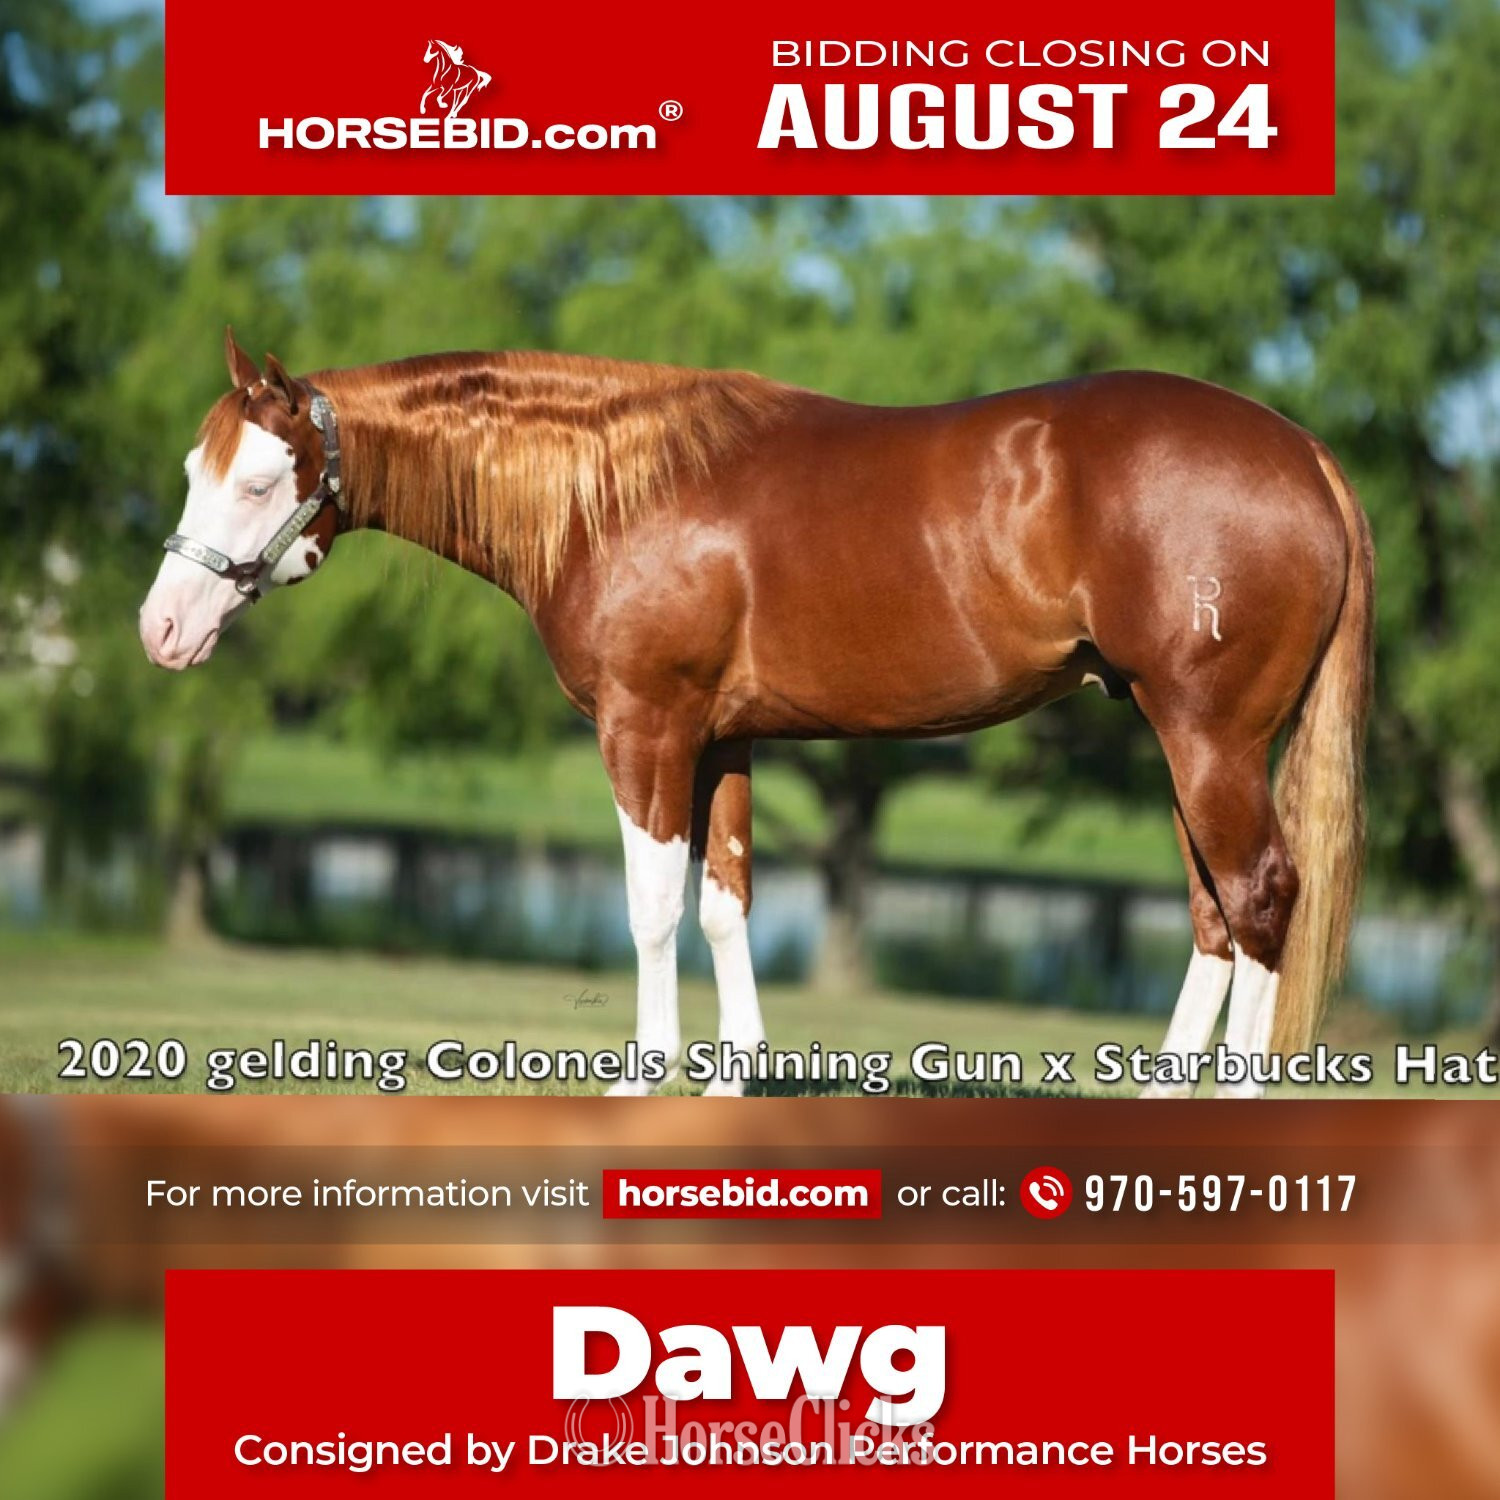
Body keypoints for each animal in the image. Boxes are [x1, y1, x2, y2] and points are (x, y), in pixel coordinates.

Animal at [139, 330, 1374, 1098]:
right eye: (197, 471)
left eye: (259, 482)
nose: (160, 628)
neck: (619, 491)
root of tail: (1304, 452)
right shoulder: (724, 737)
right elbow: (725, 904)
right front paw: (731, 1079)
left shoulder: (645, 728)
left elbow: (650, 910)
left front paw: (647, 1076)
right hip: (1182, 741)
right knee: (1215, 918)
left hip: (1210, 740)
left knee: (1261, 900)